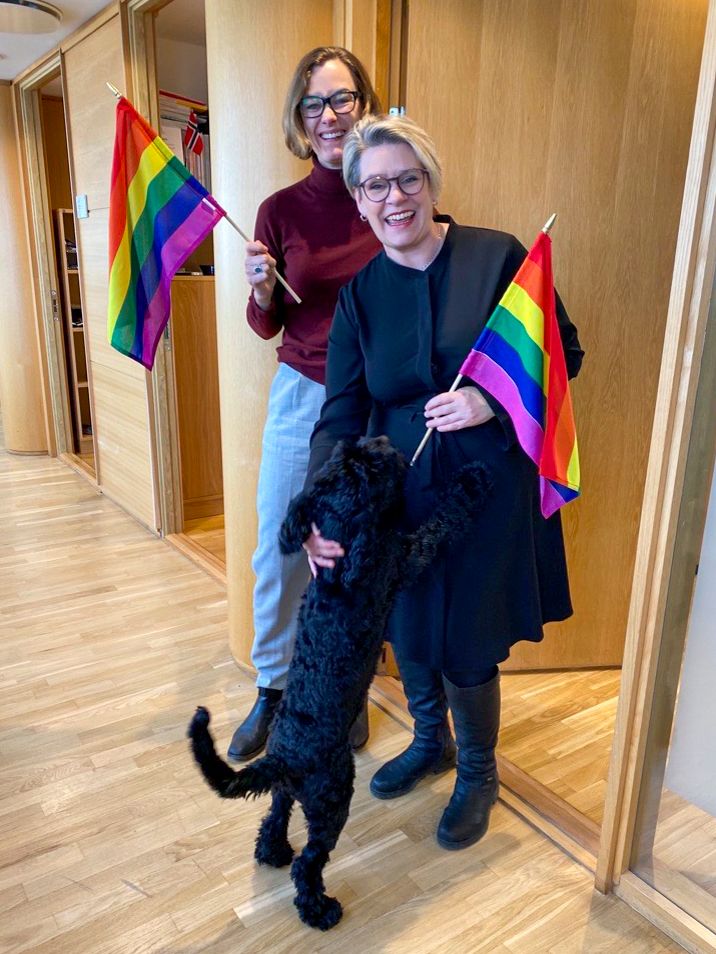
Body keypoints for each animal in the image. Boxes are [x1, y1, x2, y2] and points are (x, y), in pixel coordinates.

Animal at [188, 435, 490, 930]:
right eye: (370, 469)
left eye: (351, 457)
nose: (381, 440)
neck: (343, 539)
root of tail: (286, 757)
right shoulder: (404, 556)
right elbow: (441, 520)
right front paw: (471, 480)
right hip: (332, 798)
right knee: (309, 861)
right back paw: (319, 908)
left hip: (291, 793)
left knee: (274, 815)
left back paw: (271, 851)